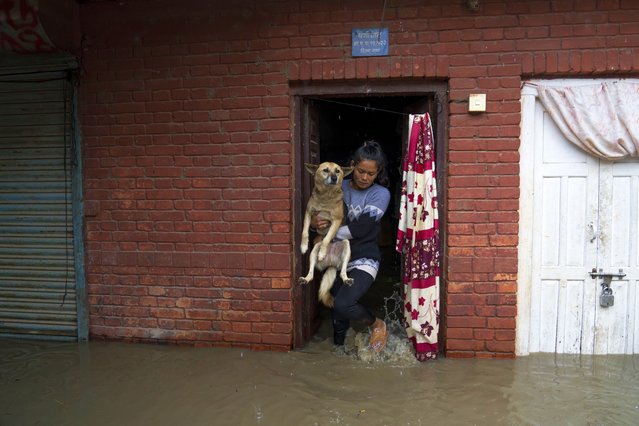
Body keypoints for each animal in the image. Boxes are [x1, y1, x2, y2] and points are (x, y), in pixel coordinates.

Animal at [300, 162, 356, 306]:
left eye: (337, 171)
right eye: (325, 170)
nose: (334, 178)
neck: (326, 196)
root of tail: (331, 263)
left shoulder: (336, 221)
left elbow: (327, 238)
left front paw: (322, 253)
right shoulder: (308, 214)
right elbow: (304, 231)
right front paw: (303, 246)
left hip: (346, 247)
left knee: (342, 273)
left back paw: (346, 279)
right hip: (314, 249)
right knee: (311, 273)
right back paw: (305, 278)